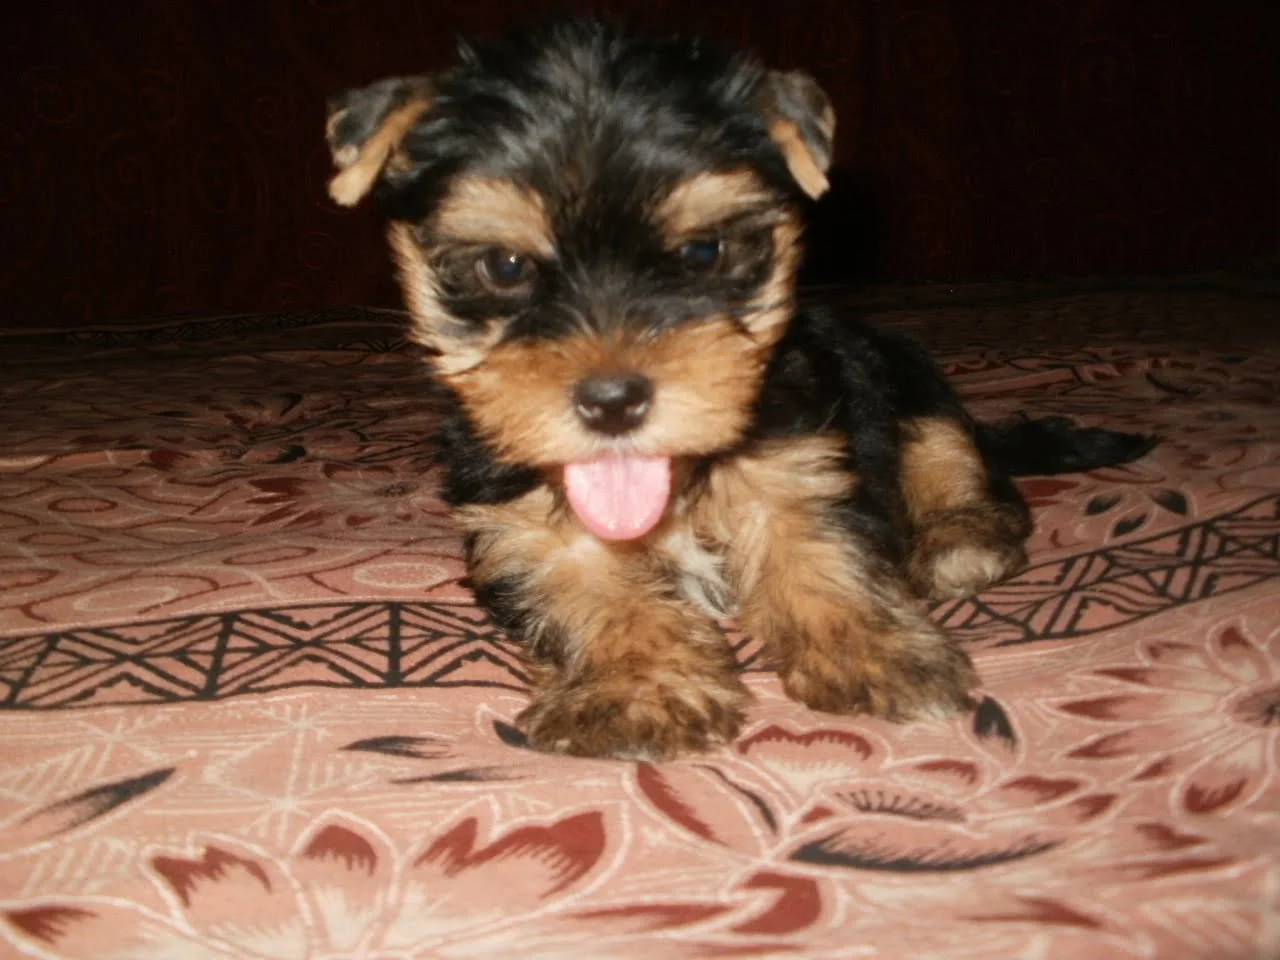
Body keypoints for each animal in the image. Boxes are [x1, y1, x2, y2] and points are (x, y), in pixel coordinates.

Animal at [323, 18, 1154, 760]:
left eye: (701, 253)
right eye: (504, 266)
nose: (612, 401)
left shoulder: (798, 458)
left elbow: (820, 549)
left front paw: (875, 650)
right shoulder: (520, 517)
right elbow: (585, 588)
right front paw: (638, 688)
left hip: (902, 365)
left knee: (948, 448)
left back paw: (961, 535)